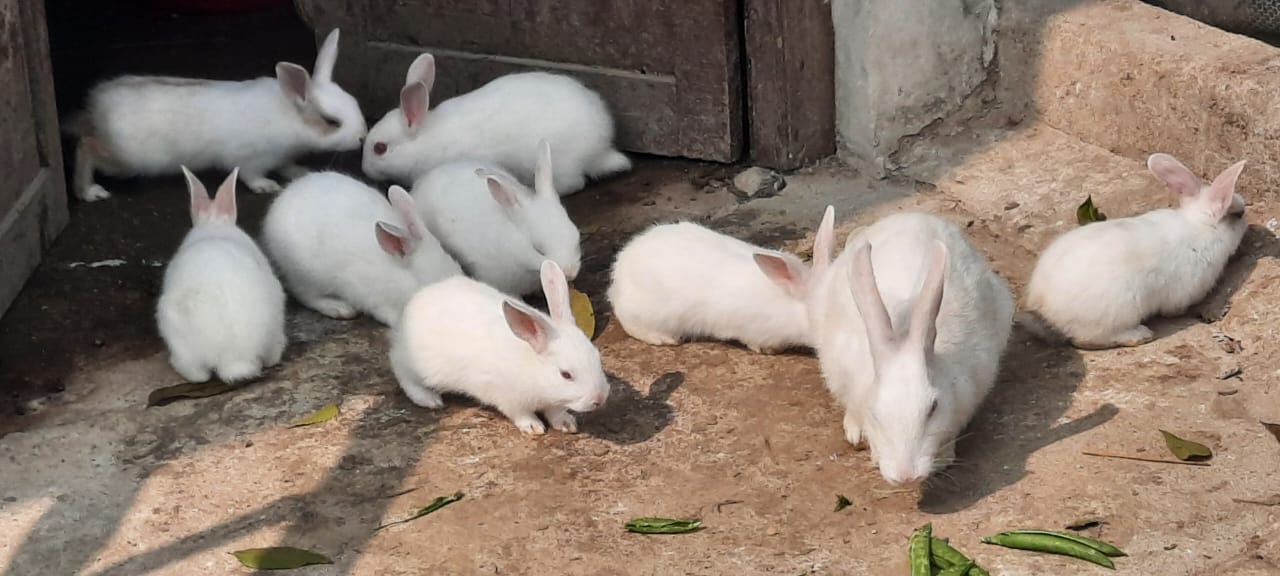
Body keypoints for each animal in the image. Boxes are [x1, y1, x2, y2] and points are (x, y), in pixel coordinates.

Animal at [68, 29, 366, 202]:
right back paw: (89, 191)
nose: (362, 137)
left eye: (355, 103)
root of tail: (97, 103)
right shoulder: (249, 159)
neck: (290, 118)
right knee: (85, 146)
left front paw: (299, 171)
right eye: (332, 122)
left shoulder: (282, 156)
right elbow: (251, 175)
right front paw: (267, 186)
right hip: (123, 160)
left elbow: (287, 165)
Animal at [362, 53, 630, 195]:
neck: (424, 140)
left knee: (574, 183)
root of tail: (600, 148)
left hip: (561, 162)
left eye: (380, 148)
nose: (364, 169)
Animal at [389, 260, 610, 435]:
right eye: (566, 375)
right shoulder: (508, 399)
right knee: (401, 370)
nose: (599, 398)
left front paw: (566, 423)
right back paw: (429, 399)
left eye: (598, 358)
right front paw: (533, 427)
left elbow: (555, 412)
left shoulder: (551, 402)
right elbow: (521, 414)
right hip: (416, 367)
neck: (533, 370)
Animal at [1020, 153, 1248, 350]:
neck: (1201, 227)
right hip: (1116, 313)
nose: (1248, 225)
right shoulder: (1185, 290)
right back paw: (1141, 335)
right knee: (1086, 339)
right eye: (1239, 215)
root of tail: (1043, 308)